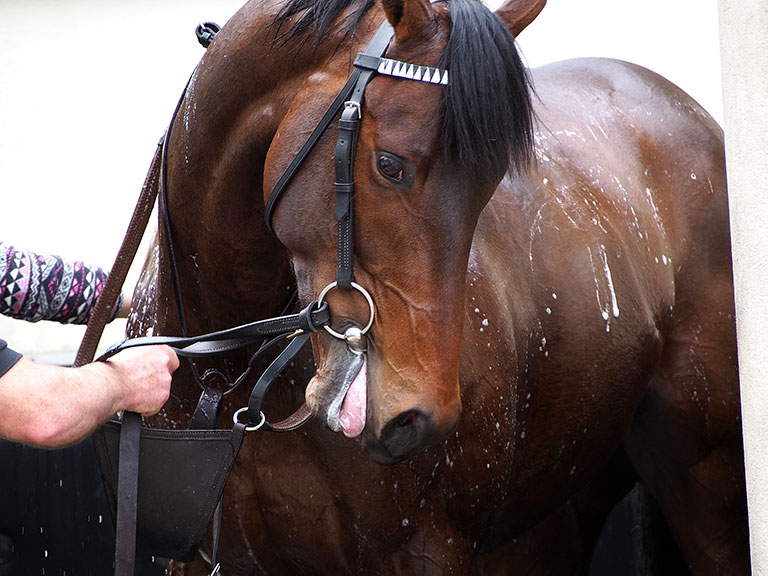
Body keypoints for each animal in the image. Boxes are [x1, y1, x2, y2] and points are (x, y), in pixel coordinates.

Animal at [126, 0, 748, 572]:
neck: (223, 367)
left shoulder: (428, 548)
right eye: (390, 164)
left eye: (491, 183)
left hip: (706, 477)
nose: (417, 416)